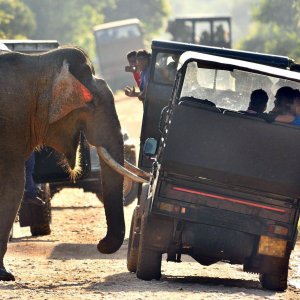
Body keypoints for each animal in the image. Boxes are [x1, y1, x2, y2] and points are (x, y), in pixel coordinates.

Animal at [0, 45, 150, 280]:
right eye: (94, 104)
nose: (100, 245)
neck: (39, 63)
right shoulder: (12, 124)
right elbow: (13, 187)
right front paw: (5, 274)